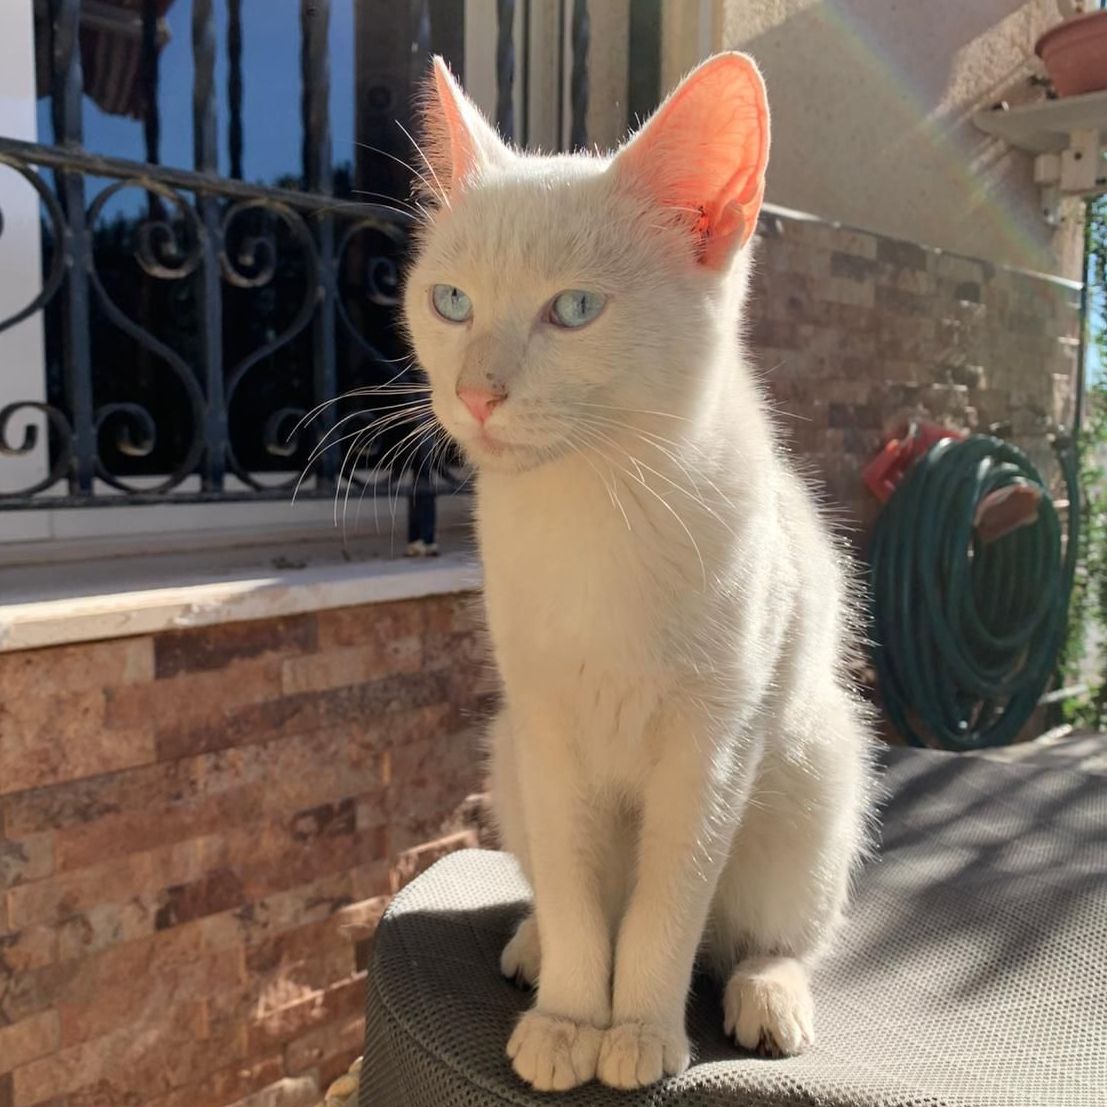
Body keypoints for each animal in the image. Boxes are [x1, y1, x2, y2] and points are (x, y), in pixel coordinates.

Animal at [402, 52, 876, 1092]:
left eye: (574, 309)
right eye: (450, 301)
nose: (475, 391)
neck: (590, 505)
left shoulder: (714, 743)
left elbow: (669, 900)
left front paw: (642, 1029)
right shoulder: (545, 725)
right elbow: (580, 892)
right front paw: (573, 1015)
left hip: (816, 767)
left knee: (771, 931)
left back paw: (768, 988)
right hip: (507, 754)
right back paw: (538, 947)